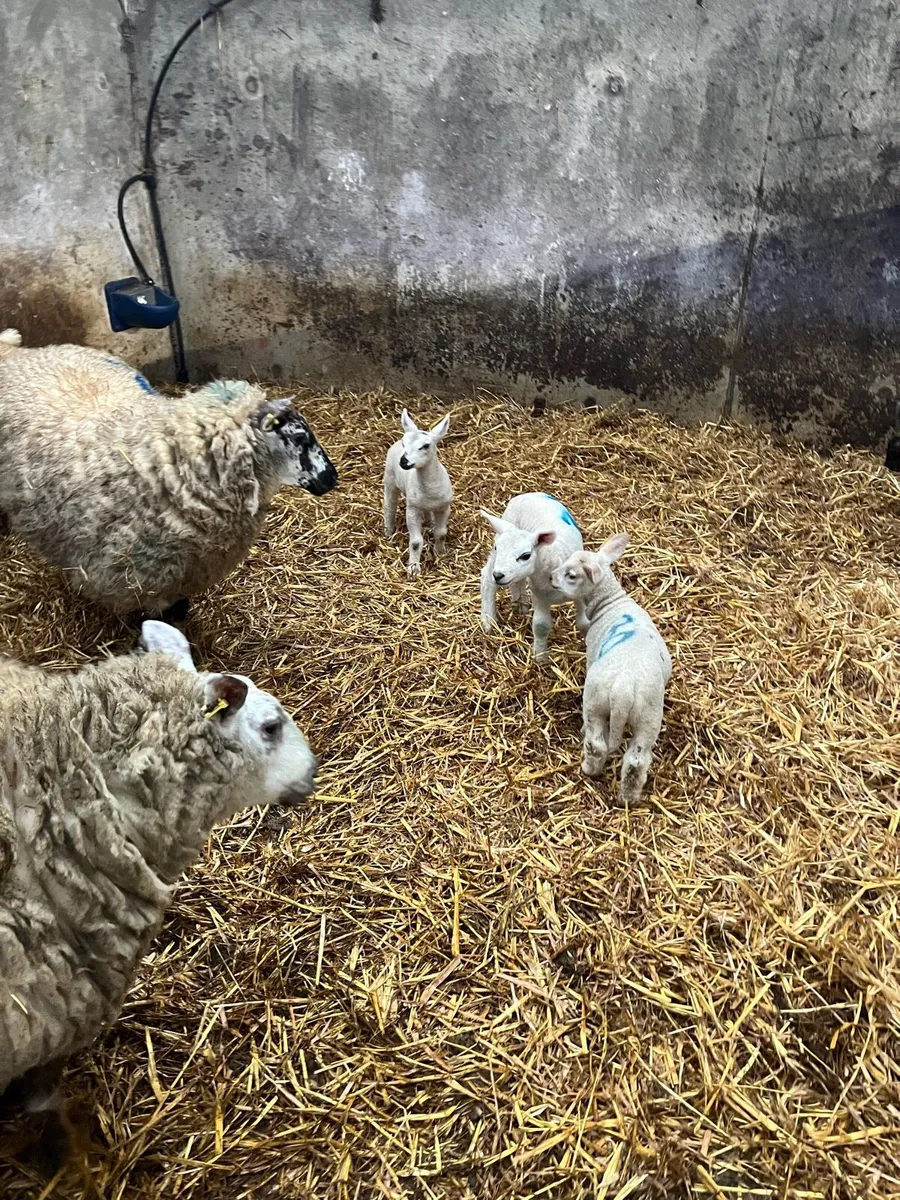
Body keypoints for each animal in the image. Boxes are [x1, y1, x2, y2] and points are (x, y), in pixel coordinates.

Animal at [383, 409, 452, 577]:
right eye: (405, 443)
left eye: (426, 446)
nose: (404, 461)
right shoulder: (412, 509)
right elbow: (415, 542)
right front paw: (413, 568)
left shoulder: (444, 507)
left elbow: (441, 533)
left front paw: (440, 553)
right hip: (389, 478)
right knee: (389, 506)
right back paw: (389, 532)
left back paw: (429, 522)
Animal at [479, 492, 587, 660]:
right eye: (497, 547)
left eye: (526, 555)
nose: (498, 575)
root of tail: (530, 493)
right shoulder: (540, 595)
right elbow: (541, 625)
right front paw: (540, 657)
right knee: (487, 579)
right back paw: (488, 621)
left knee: (517, 580)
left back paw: (521, 604)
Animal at [550, 535, 672, 804]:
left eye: (571, 575)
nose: (551, 577)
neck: (611, 602)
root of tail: (623, 690)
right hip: (649, 718)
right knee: (636, 761)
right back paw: (629, 797)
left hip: (596, 702)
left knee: (597, 744)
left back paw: (589, 768)